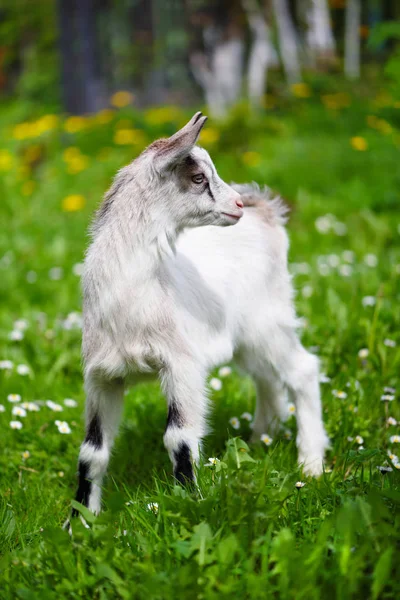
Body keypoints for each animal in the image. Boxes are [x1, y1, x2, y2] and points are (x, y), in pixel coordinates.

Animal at [71, 113, 328, 520]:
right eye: (197, 178)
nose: (236, 204)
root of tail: (267, 213)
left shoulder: (182, 365)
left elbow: (179, 439)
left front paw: (188, 504)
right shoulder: (101, 377)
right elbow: (91, 452)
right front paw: (80, 521)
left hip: (268, 322)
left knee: (302, 370)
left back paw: (311, 464)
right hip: (246, 340)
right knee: (266, 378)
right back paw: (260, 440)